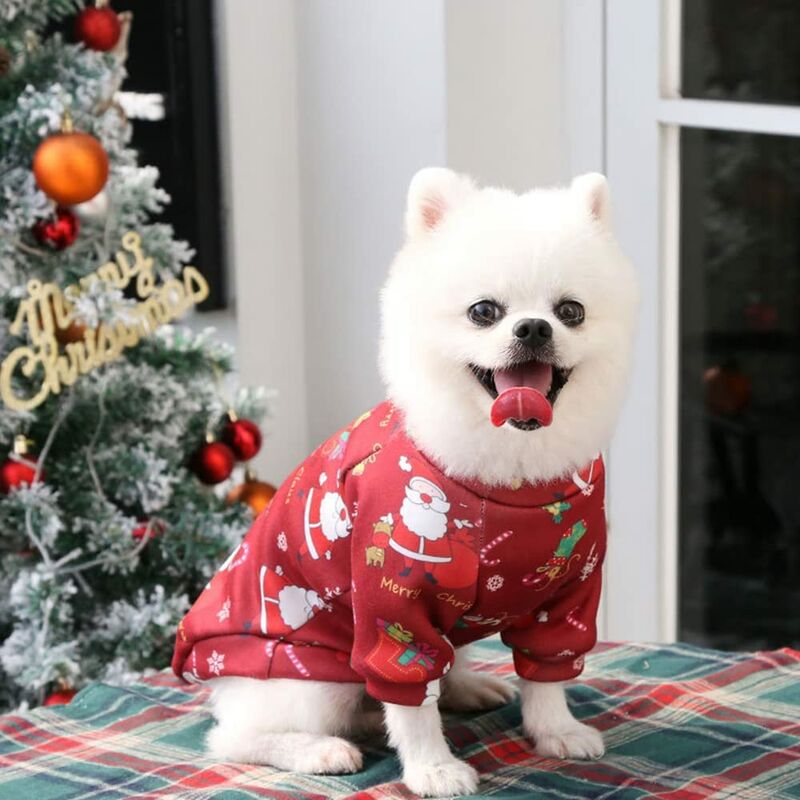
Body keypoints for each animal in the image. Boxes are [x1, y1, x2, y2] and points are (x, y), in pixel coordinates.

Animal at [175, 167, 636, 792]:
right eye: (484, 311)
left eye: (570, 311)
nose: (535, 327)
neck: (510, 477)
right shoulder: (392, 602)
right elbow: (410, 698)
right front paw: (432, 767)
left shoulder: (568, 592)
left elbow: (548, 670)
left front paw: (554, 730)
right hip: (308, 673)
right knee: (234, 737)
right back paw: (318, 749)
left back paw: (465, 686)